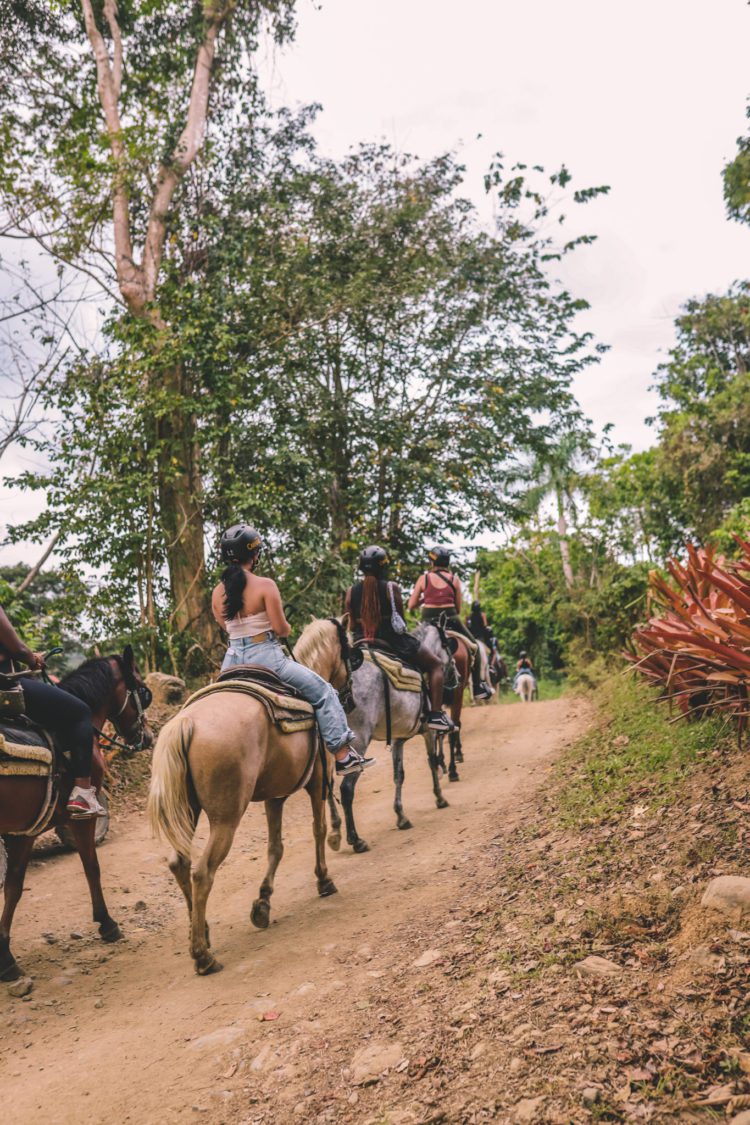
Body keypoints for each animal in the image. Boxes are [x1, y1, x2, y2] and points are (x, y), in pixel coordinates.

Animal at [0, 652, 154, 985]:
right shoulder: (76, 819)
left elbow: (14, 887)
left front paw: (4, 956)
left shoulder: (22, 831)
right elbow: (91, 867)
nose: (147, 736)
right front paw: (107, 923)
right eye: (142, 691)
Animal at [149, 616, 355, 976]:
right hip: (226, 817)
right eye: (350, 652)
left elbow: (276, 847)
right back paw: (203, 956)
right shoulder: (317, 782)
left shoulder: (275, 797)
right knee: (202, 872)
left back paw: (200, 932)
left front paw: (263, 903)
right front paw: (324, 880)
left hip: (188, 811)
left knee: (179, 863)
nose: (351, 698)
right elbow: (315, 831)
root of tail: (186, 723)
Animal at [326, 625, 458, 850]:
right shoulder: (428, 731)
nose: (457, 676)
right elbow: (431, 762)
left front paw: (401, 816)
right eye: (448, 649)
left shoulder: (398, 739)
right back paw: (355, 839)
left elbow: (399, 775)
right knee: (346, 788)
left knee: (326, 787)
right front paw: (440, 798)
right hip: (358, 741)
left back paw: (335, 831)